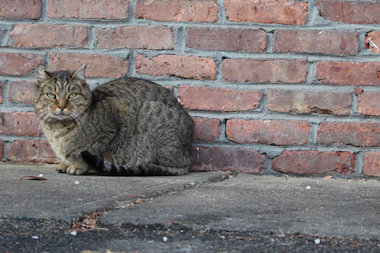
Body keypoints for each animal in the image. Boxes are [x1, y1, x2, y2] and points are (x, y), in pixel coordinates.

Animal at [33, 64, 193, 176]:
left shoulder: (108, 131)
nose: (61, 106)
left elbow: (86, 152)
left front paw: (78, 165)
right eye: (51, 95)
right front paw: (65, 163)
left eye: (72, 95)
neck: (57, 129)